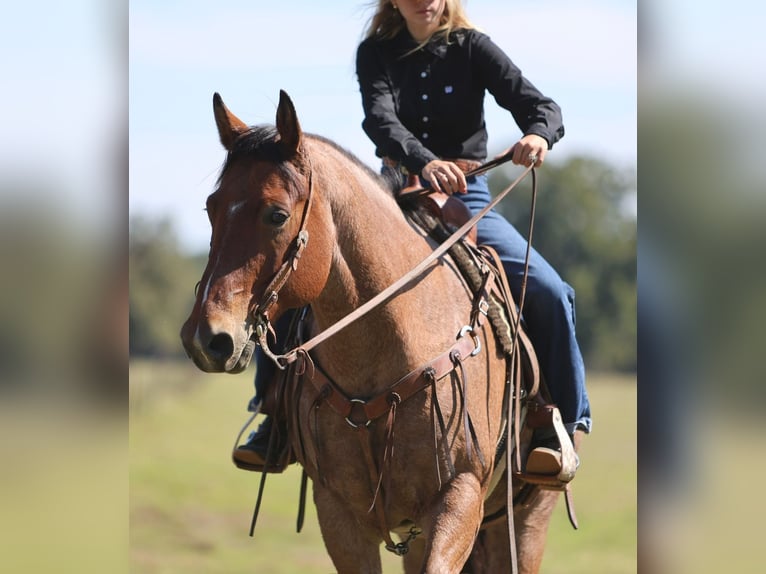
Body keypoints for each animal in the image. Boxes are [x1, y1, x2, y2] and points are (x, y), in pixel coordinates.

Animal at [180, 90, 563, 573]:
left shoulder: (459, 497)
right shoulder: (338, 512)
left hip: (528, 520)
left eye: (277, 215)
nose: (206, 338)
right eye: (211, 207)